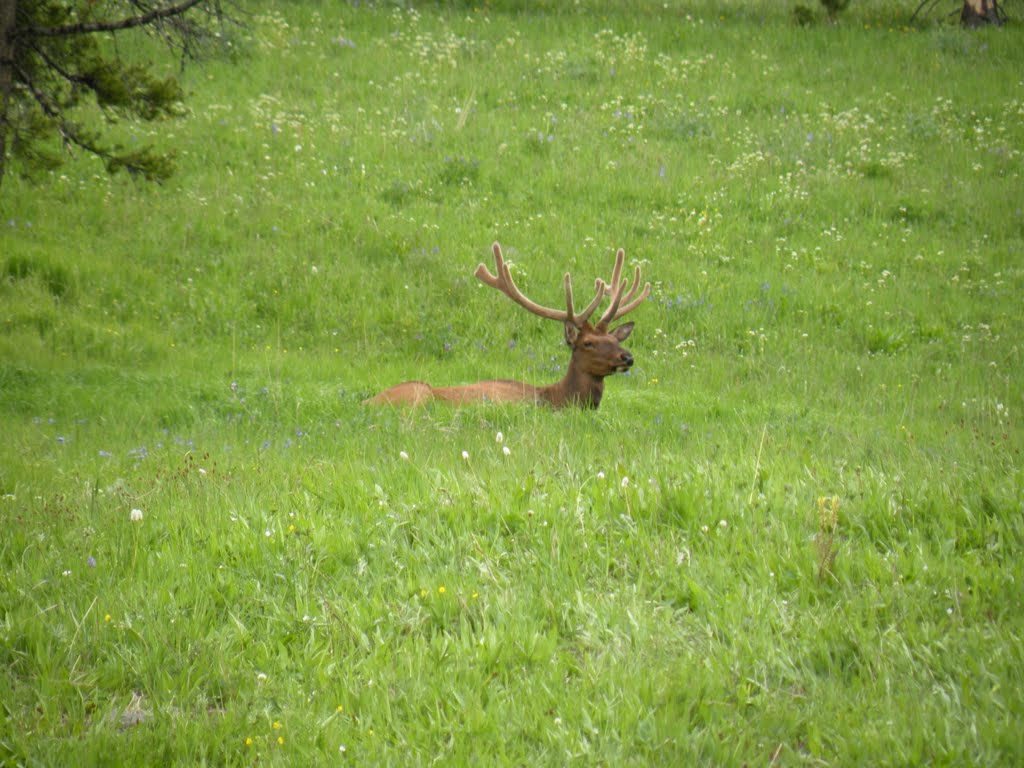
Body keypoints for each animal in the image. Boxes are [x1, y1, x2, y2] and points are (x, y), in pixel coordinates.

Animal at [364, 241, 647, 409]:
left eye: (616, 339)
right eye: (588, 343)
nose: (627, 357)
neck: (555, 399)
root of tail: (366, 403)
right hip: (418, 394)